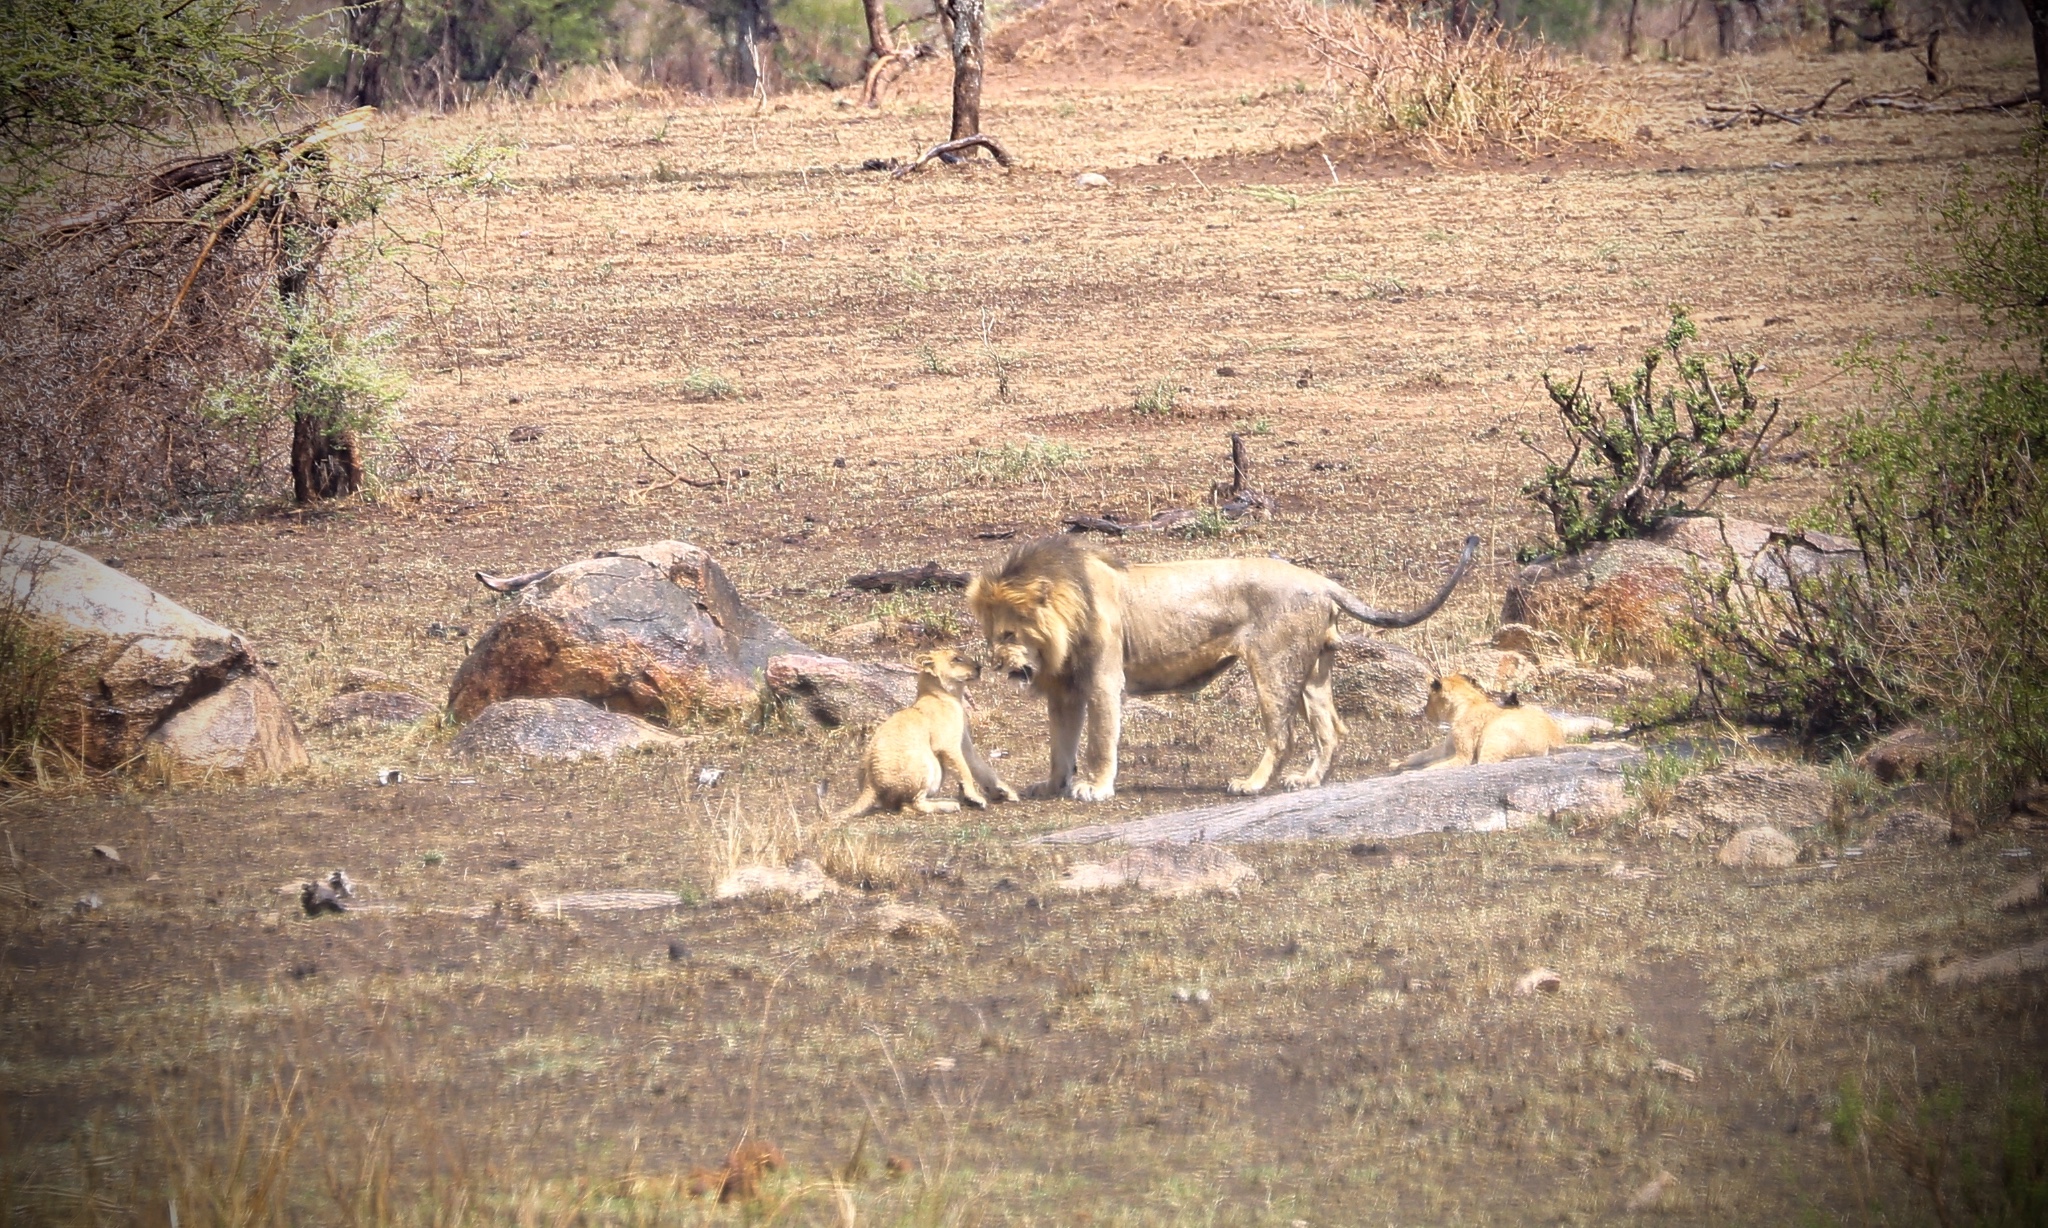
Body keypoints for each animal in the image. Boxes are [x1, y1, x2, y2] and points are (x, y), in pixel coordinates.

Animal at [966, 532, 1482, 802]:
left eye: (1009, 635)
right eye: (992, 635)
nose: (996, 664)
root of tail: (1321, 580)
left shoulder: (1103, 681)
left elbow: (1098, 740)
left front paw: (1094, 787)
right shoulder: (1064, 689)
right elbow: (1061, 743)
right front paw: (1051, 785)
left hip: (1273, 666)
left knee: (1282, 734)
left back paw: (1251, 784)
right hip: (1312, 670)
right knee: (1331, 728)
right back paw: (1307, 781)